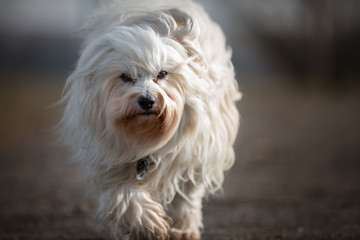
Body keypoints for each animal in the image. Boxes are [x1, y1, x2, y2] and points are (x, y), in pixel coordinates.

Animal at [60, 0, 240, 238]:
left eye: (162, 74)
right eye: (125, 77)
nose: (147, 100)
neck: (145, 136)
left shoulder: (194, 155)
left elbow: (187, 196)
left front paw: (184, 229)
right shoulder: (111, 163)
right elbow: (122, 194)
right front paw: (148, 223)